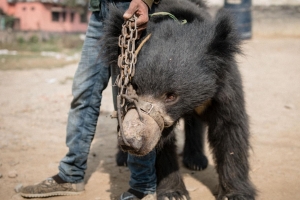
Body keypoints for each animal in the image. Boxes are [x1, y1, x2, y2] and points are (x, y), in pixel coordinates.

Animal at [100, 0, 255, 199]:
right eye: (134, 88)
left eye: (171, 96)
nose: (133, 143)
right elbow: (160, 144)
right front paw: (173, 193)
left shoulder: (223, 85)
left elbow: (230, 128)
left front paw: (235, 193)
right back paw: (123, 159)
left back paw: (196, 160)